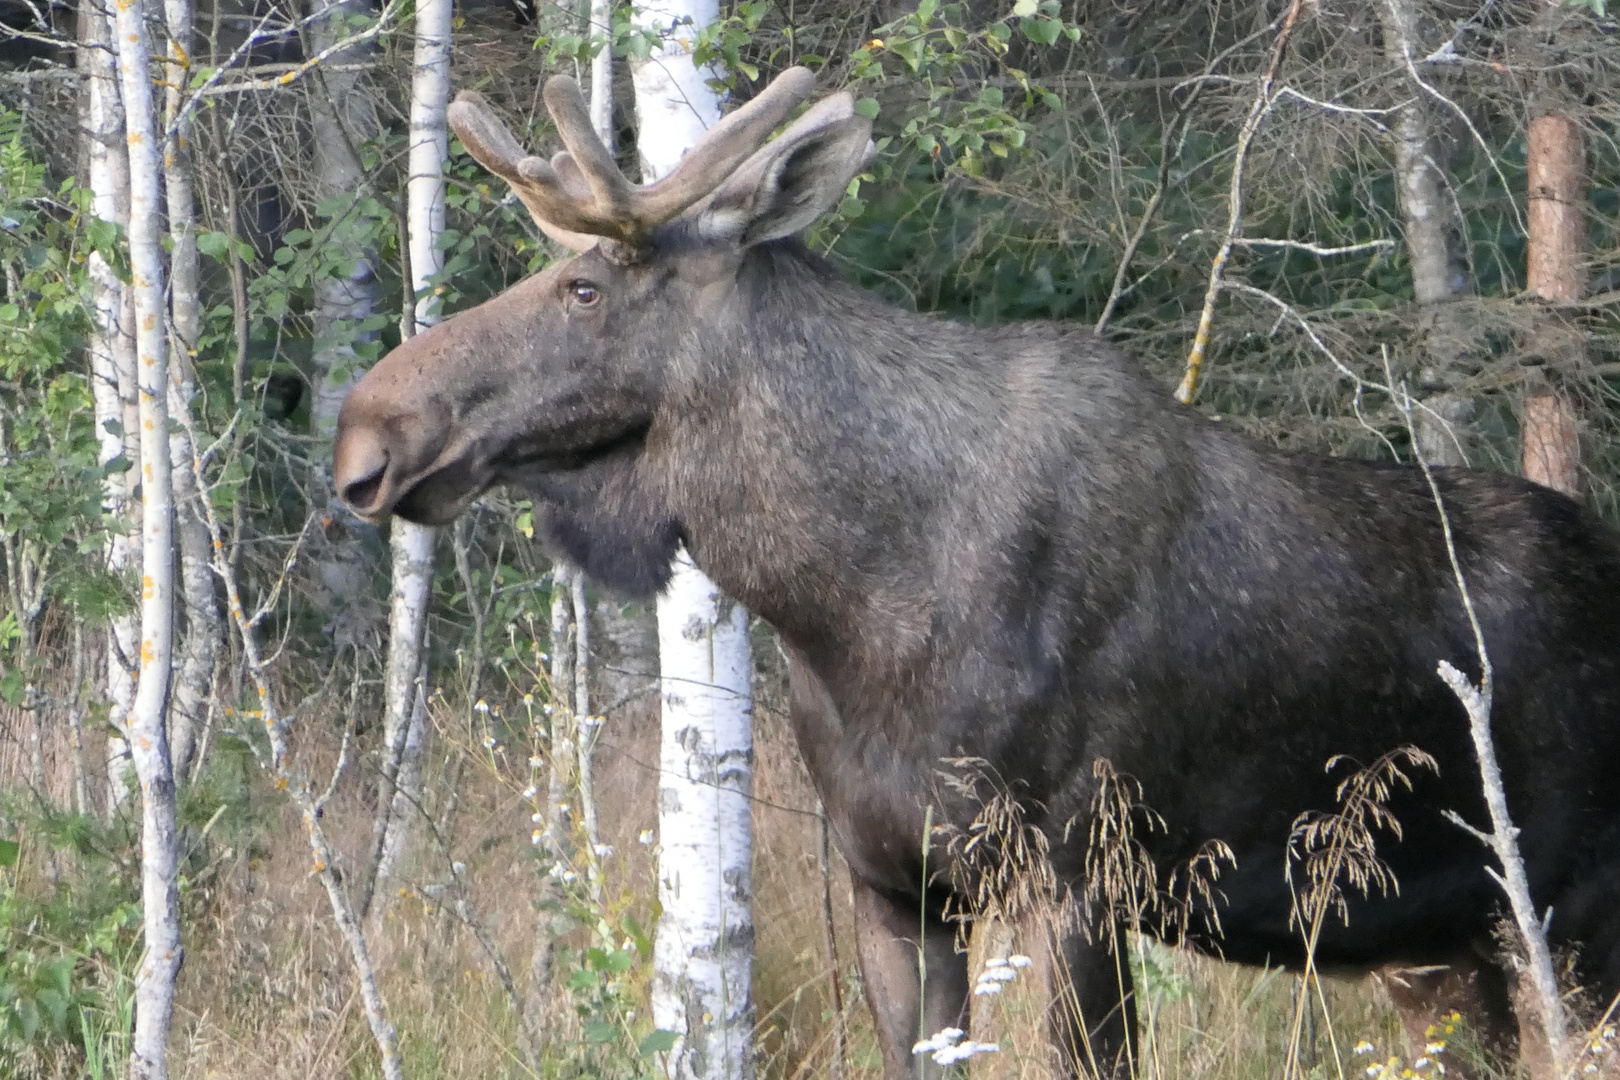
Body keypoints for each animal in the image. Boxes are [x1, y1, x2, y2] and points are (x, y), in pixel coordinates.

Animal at [335, 69, 1620, 1080]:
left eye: (586, 288)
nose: (367, 433)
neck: (842, 605)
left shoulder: (1084, 878)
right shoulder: (895, 885)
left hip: (1572, 914)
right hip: (1434, 950)